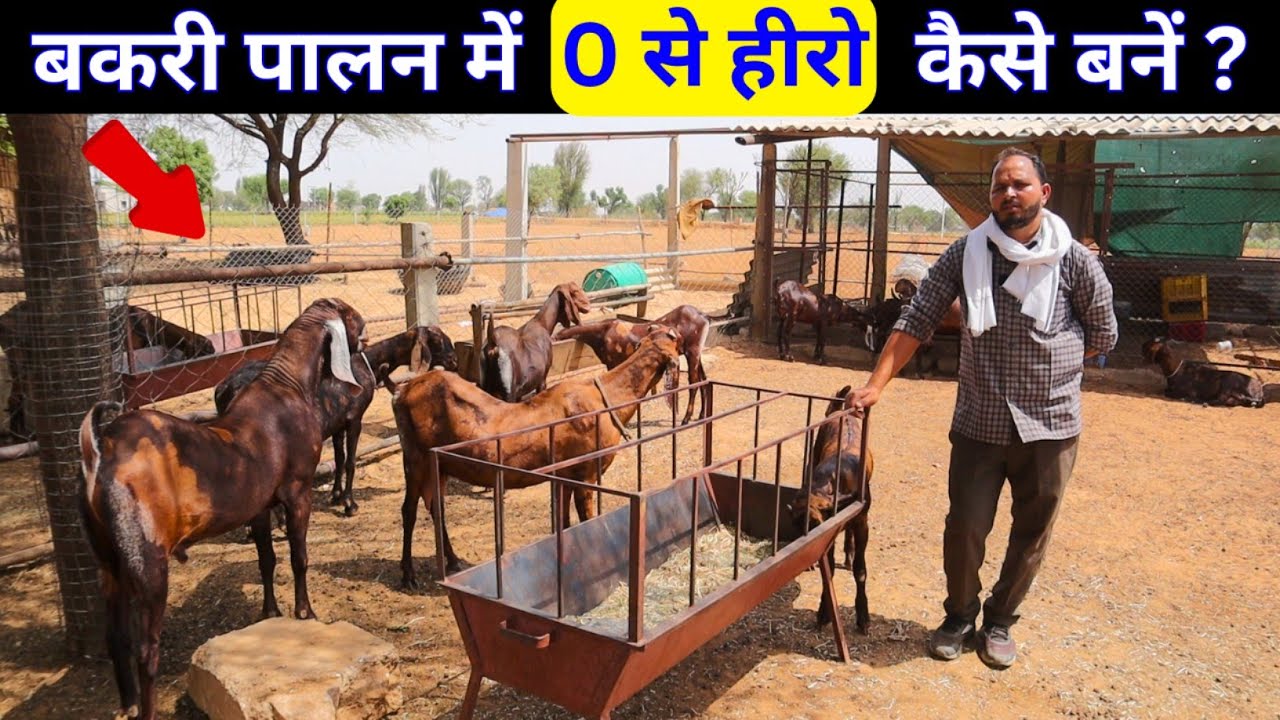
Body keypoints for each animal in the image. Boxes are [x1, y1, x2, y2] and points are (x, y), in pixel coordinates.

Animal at [77, 298, 366, 720]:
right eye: (353, 320)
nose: (365, 341)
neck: (287, 387)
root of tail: (102, 452)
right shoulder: (298, 493)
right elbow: (299, 557)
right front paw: (305, 613)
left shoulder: (260, 506)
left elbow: (266, 561)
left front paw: (269, 613)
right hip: (147, 561)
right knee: (145, 649)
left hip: (106, 559)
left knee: (116, 638)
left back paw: (127, 704)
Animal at [214, 325, 459, 516]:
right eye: (437, 340)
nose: (454, 361)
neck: (366, 363)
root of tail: (224, 388)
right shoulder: (354, 418)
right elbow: (350, 461)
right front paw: (350, 504)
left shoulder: (337, 423)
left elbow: (339, 459)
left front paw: (336, 495)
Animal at [391, 326, 682, 588]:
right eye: (675, 339)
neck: (608, 400)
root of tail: (401, 393)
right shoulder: (587, 472)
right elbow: (587, 521)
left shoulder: (566, 474)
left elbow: (565, 522)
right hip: (414, 457)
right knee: (409, 510)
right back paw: (408, 576)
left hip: (440, 465)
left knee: (436, 506)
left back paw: (452, 561)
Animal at [553, 304, 711, 425]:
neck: (603, 332)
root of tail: (703, 316)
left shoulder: (613, 362)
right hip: (697, 355)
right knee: (704, 380)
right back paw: (701, 415)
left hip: (692, 353)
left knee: (694, 383)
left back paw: (686, 419)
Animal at [786, 385, 874, 634]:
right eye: (793, 525)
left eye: (815, 523)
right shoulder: (829, 534)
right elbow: (830, 569)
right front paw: (824, 611)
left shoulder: (861, 522)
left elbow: (861, 571)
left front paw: (863, 616)